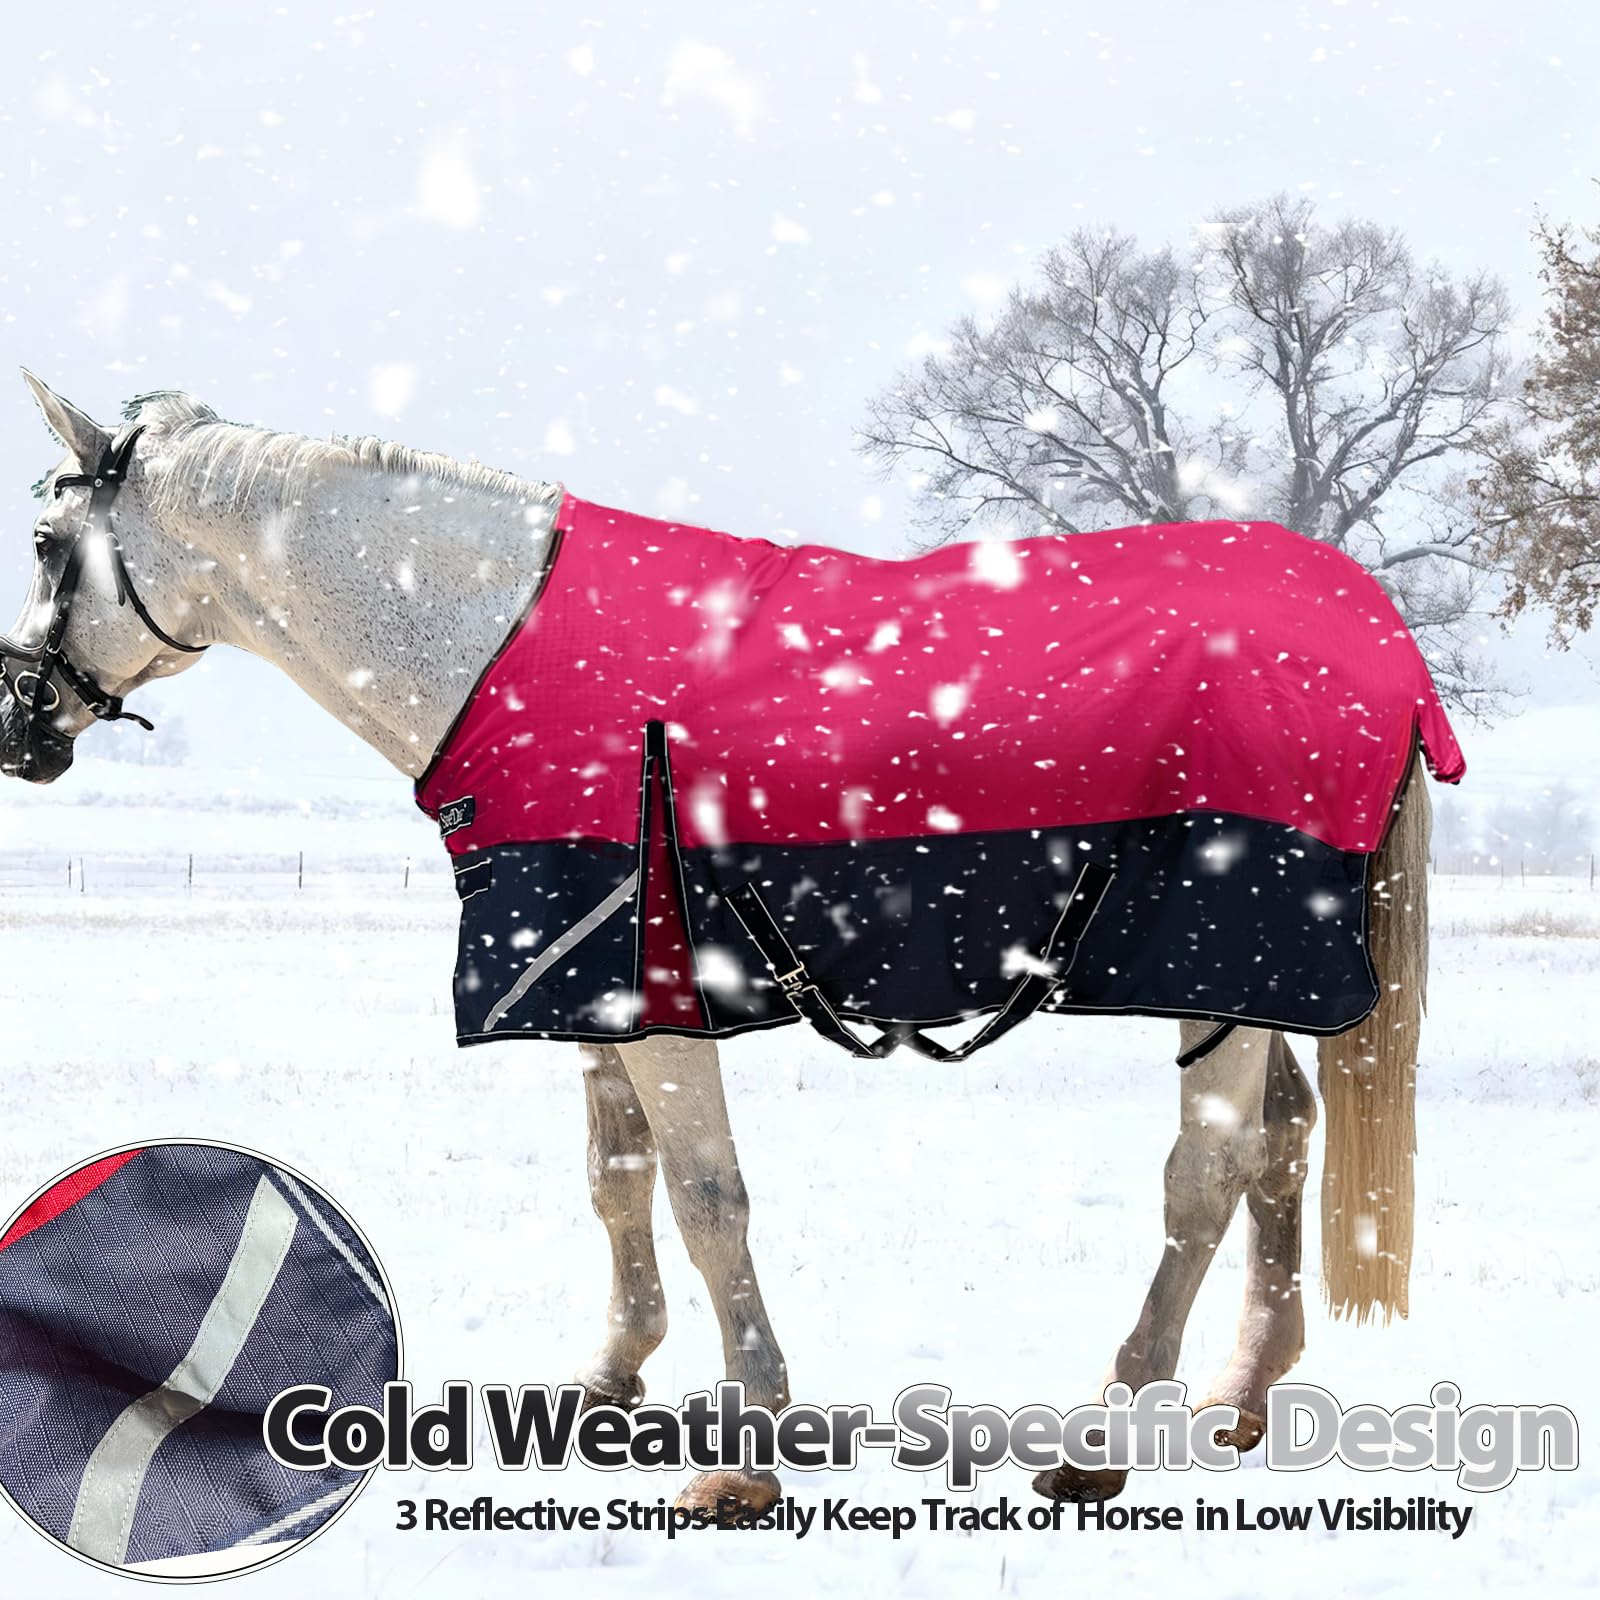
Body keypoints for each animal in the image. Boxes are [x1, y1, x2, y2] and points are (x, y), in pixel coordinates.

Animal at [1, 374, 1435, 1512]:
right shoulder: (593, 989)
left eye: (46, 541)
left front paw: (745, 1445)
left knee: (1208, 1175)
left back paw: (1105, 1433)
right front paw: (608, 1376)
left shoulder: (659, 995)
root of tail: (1370, 629)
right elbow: (617, 1177)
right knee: (1283, 1144)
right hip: (1244, 977)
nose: (18, 721)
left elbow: (706, 1198)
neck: (496, 643)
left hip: (1217, 961)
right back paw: (1240, 1392)